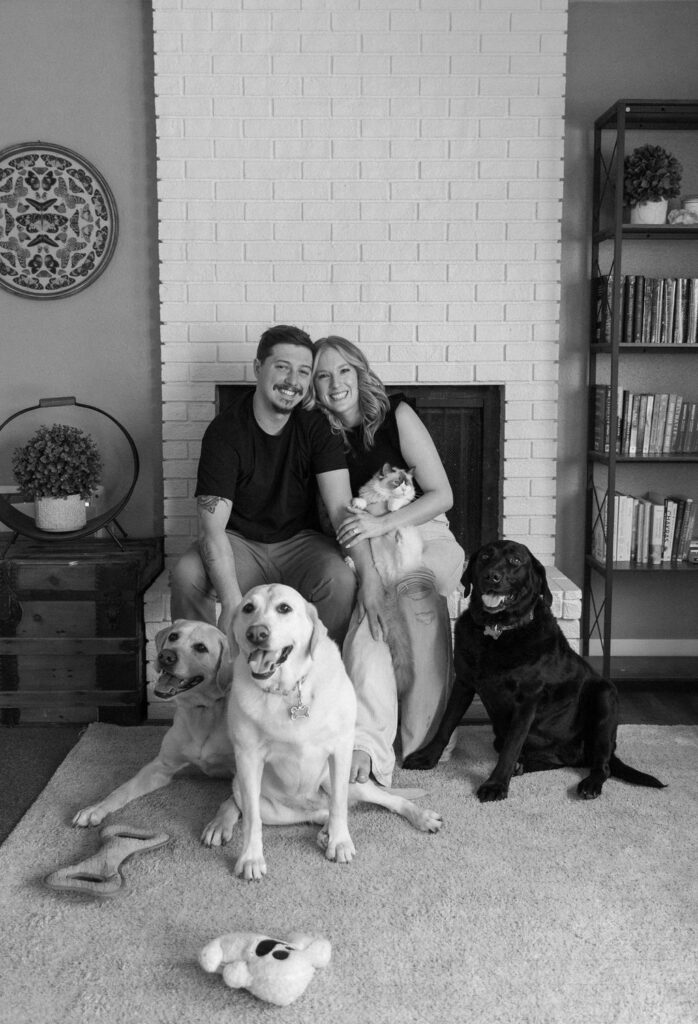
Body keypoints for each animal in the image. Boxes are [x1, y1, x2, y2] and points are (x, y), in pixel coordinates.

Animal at [71, 618, 233, 827]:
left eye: (201, 647)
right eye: (173, 636)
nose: (165, 656)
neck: (201, 710)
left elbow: (235, 801)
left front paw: (220, 823)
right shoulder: (161, 766)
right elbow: (122, 789)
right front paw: (95, 808)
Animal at [201, 585, 440, 880]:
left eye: (284, 608)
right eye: (248, 608)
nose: (256, 633)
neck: (288, 689)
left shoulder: (340, 750)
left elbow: (338, 805)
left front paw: (340, 843)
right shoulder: (247, 758)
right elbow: (252, 820)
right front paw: (251, 858)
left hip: (351, 781)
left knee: (383, 801)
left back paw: (420, 817)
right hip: (263, 802)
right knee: (308, 813)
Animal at [403, 536, 663, 798]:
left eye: (516, 560)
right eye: (485, 556)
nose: (491, 576)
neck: (498, 631)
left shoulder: (527, 700)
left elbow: (512, 746)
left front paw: (496, 784)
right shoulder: (464, 683)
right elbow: (446, 724)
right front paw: (427, 758)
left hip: (605, 696)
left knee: (603, 764)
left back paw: (590, 783)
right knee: (555, 760)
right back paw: (523, 767)